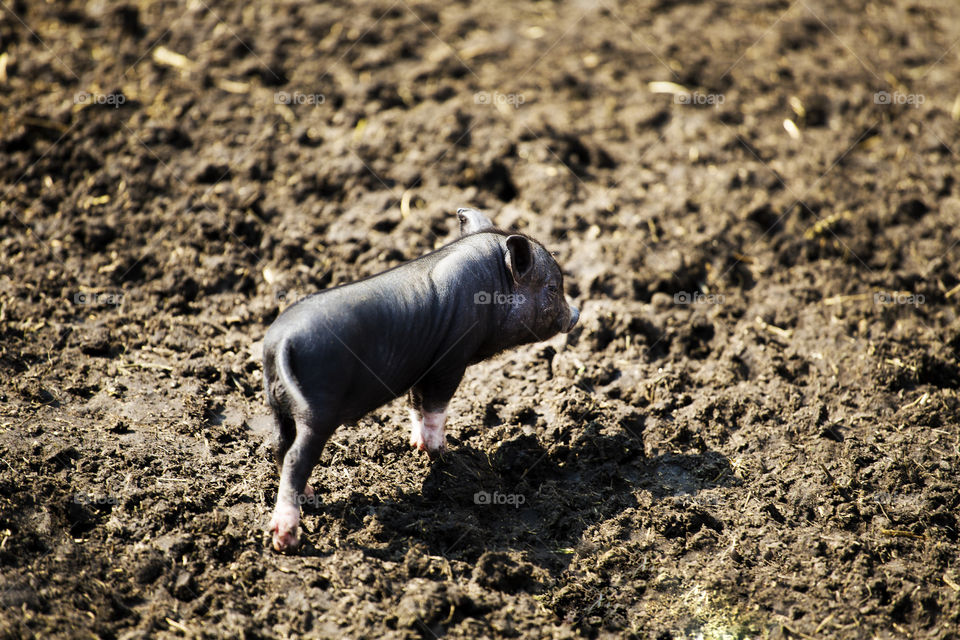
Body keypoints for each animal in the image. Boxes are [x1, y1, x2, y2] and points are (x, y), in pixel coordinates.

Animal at [262, 207, 579, 552]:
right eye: (552, 287)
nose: (576, 314)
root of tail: (280, 342)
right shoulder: (450, 361)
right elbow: (437, 407)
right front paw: (442, 453)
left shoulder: (422, 362)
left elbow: (416, 403)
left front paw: (416, 445)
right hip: (317, 410)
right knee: (296, 457)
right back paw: (286, 539)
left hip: (278, 406)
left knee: (279, 445)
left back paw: (309, 496)